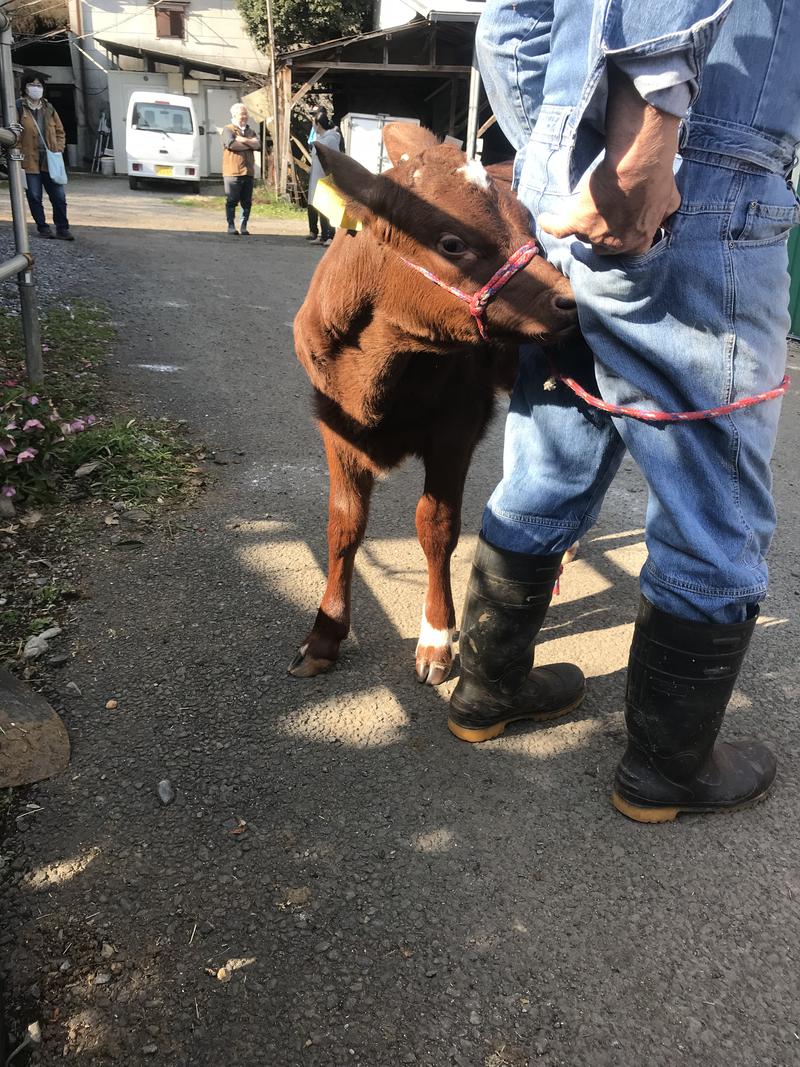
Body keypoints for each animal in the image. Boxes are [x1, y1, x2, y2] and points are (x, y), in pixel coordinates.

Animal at [290, 122, 576, 682]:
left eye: (530, 230)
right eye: (451, 242)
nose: (570, 300)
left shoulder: (457, 427)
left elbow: (437, 527)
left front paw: (437, 638)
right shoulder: (334, 425)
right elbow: (343, 524)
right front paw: (324, 634)